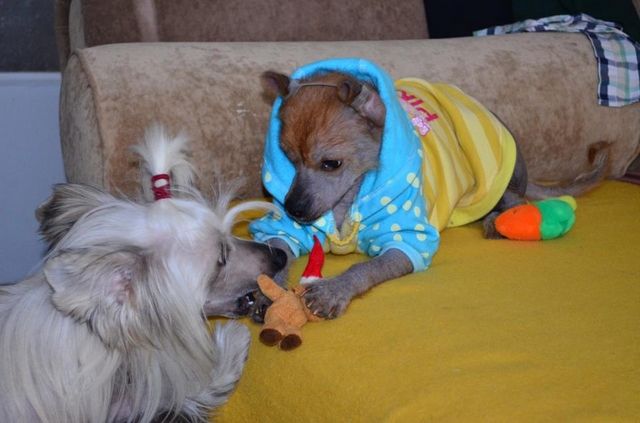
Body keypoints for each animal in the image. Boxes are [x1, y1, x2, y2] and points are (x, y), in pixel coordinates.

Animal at [248, 58, 608, 322]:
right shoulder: (288, 230)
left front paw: (335, 289)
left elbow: (365, 266)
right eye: (288, 157)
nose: (293, 209)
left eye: (331, 164)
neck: (348, 199)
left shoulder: (406, 242)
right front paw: (270, 289)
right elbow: (277, 250)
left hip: (496, 175)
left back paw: (500, 220)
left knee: (515, 198)